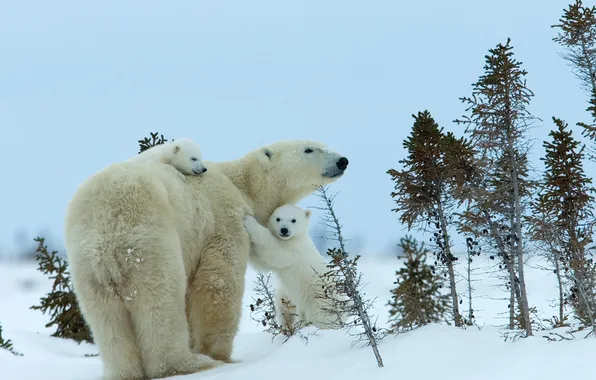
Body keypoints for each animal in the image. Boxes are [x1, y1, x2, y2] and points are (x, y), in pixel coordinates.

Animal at [244, 203, 352, 332]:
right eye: (278, 218)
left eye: (293, 220)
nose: (284, 230)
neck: (296, 238)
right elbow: (262, 262)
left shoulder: (294, 249)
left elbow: (274, 250)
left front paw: (248, 220)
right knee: (285, 307)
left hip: (321, 304)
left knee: (320, 320)